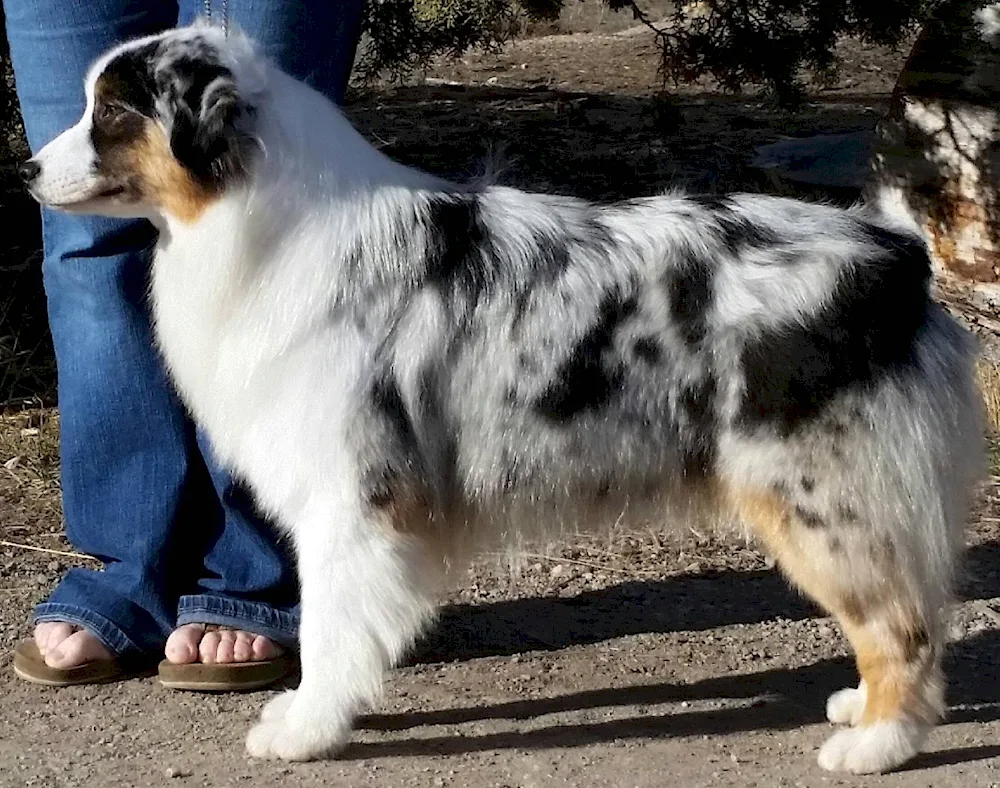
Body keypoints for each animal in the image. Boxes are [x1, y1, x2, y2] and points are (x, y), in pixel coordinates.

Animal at [21, 20, 984, 776]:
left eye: (114, 112)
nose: (27, 171)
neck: (263, 215)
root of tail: (894, 258)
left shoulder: (352, 498)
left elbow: (331, 629)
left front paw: (305, 728)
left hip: (825, 501)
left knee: (903, 626)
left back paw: (877, 743)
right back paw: (860, 710)